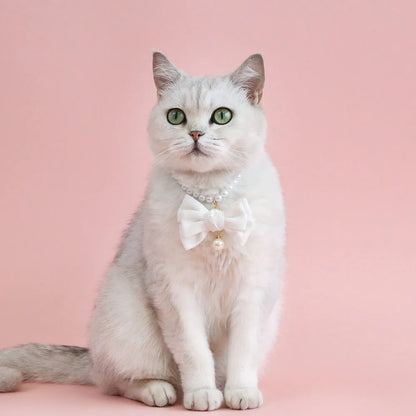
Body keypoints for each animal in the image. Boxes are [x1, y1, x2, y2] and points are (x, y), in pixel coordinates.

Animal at [0, 51, 286, 410]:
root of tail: (90, 356)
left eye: (222, 116)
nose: (195, 134)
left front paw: (241, 392)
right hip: (128, 321)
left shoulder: (253, 288)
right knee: (118, 382)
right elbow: (194, 352)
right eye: (176, 117)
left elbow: (242, 353)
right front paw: (202, 394)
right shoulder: (176, 290)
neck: (211, 205)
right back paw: (160, 391)